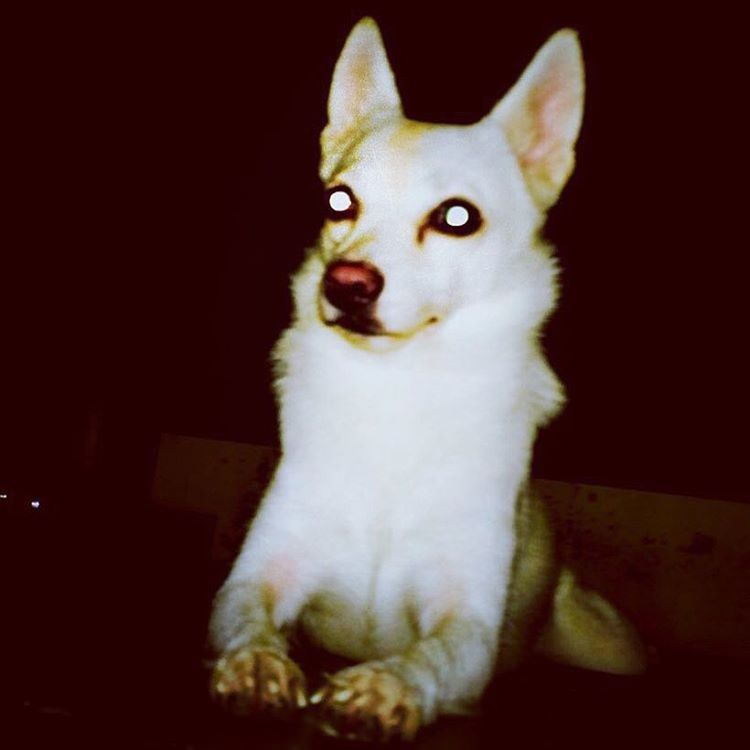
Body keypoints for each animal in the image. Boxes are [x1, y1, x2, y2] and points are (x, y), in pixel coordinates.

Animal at [210, 17, 648, 748]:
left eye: (457, 218)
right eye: (337, 203)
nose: (346, 284)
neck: (399, 389)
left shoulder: (466, 618)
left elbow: (434, 656)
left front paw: (382, 687)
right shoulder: (259, 575)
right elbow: (245, 620)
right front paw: (258, 666)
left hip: (606, 646)